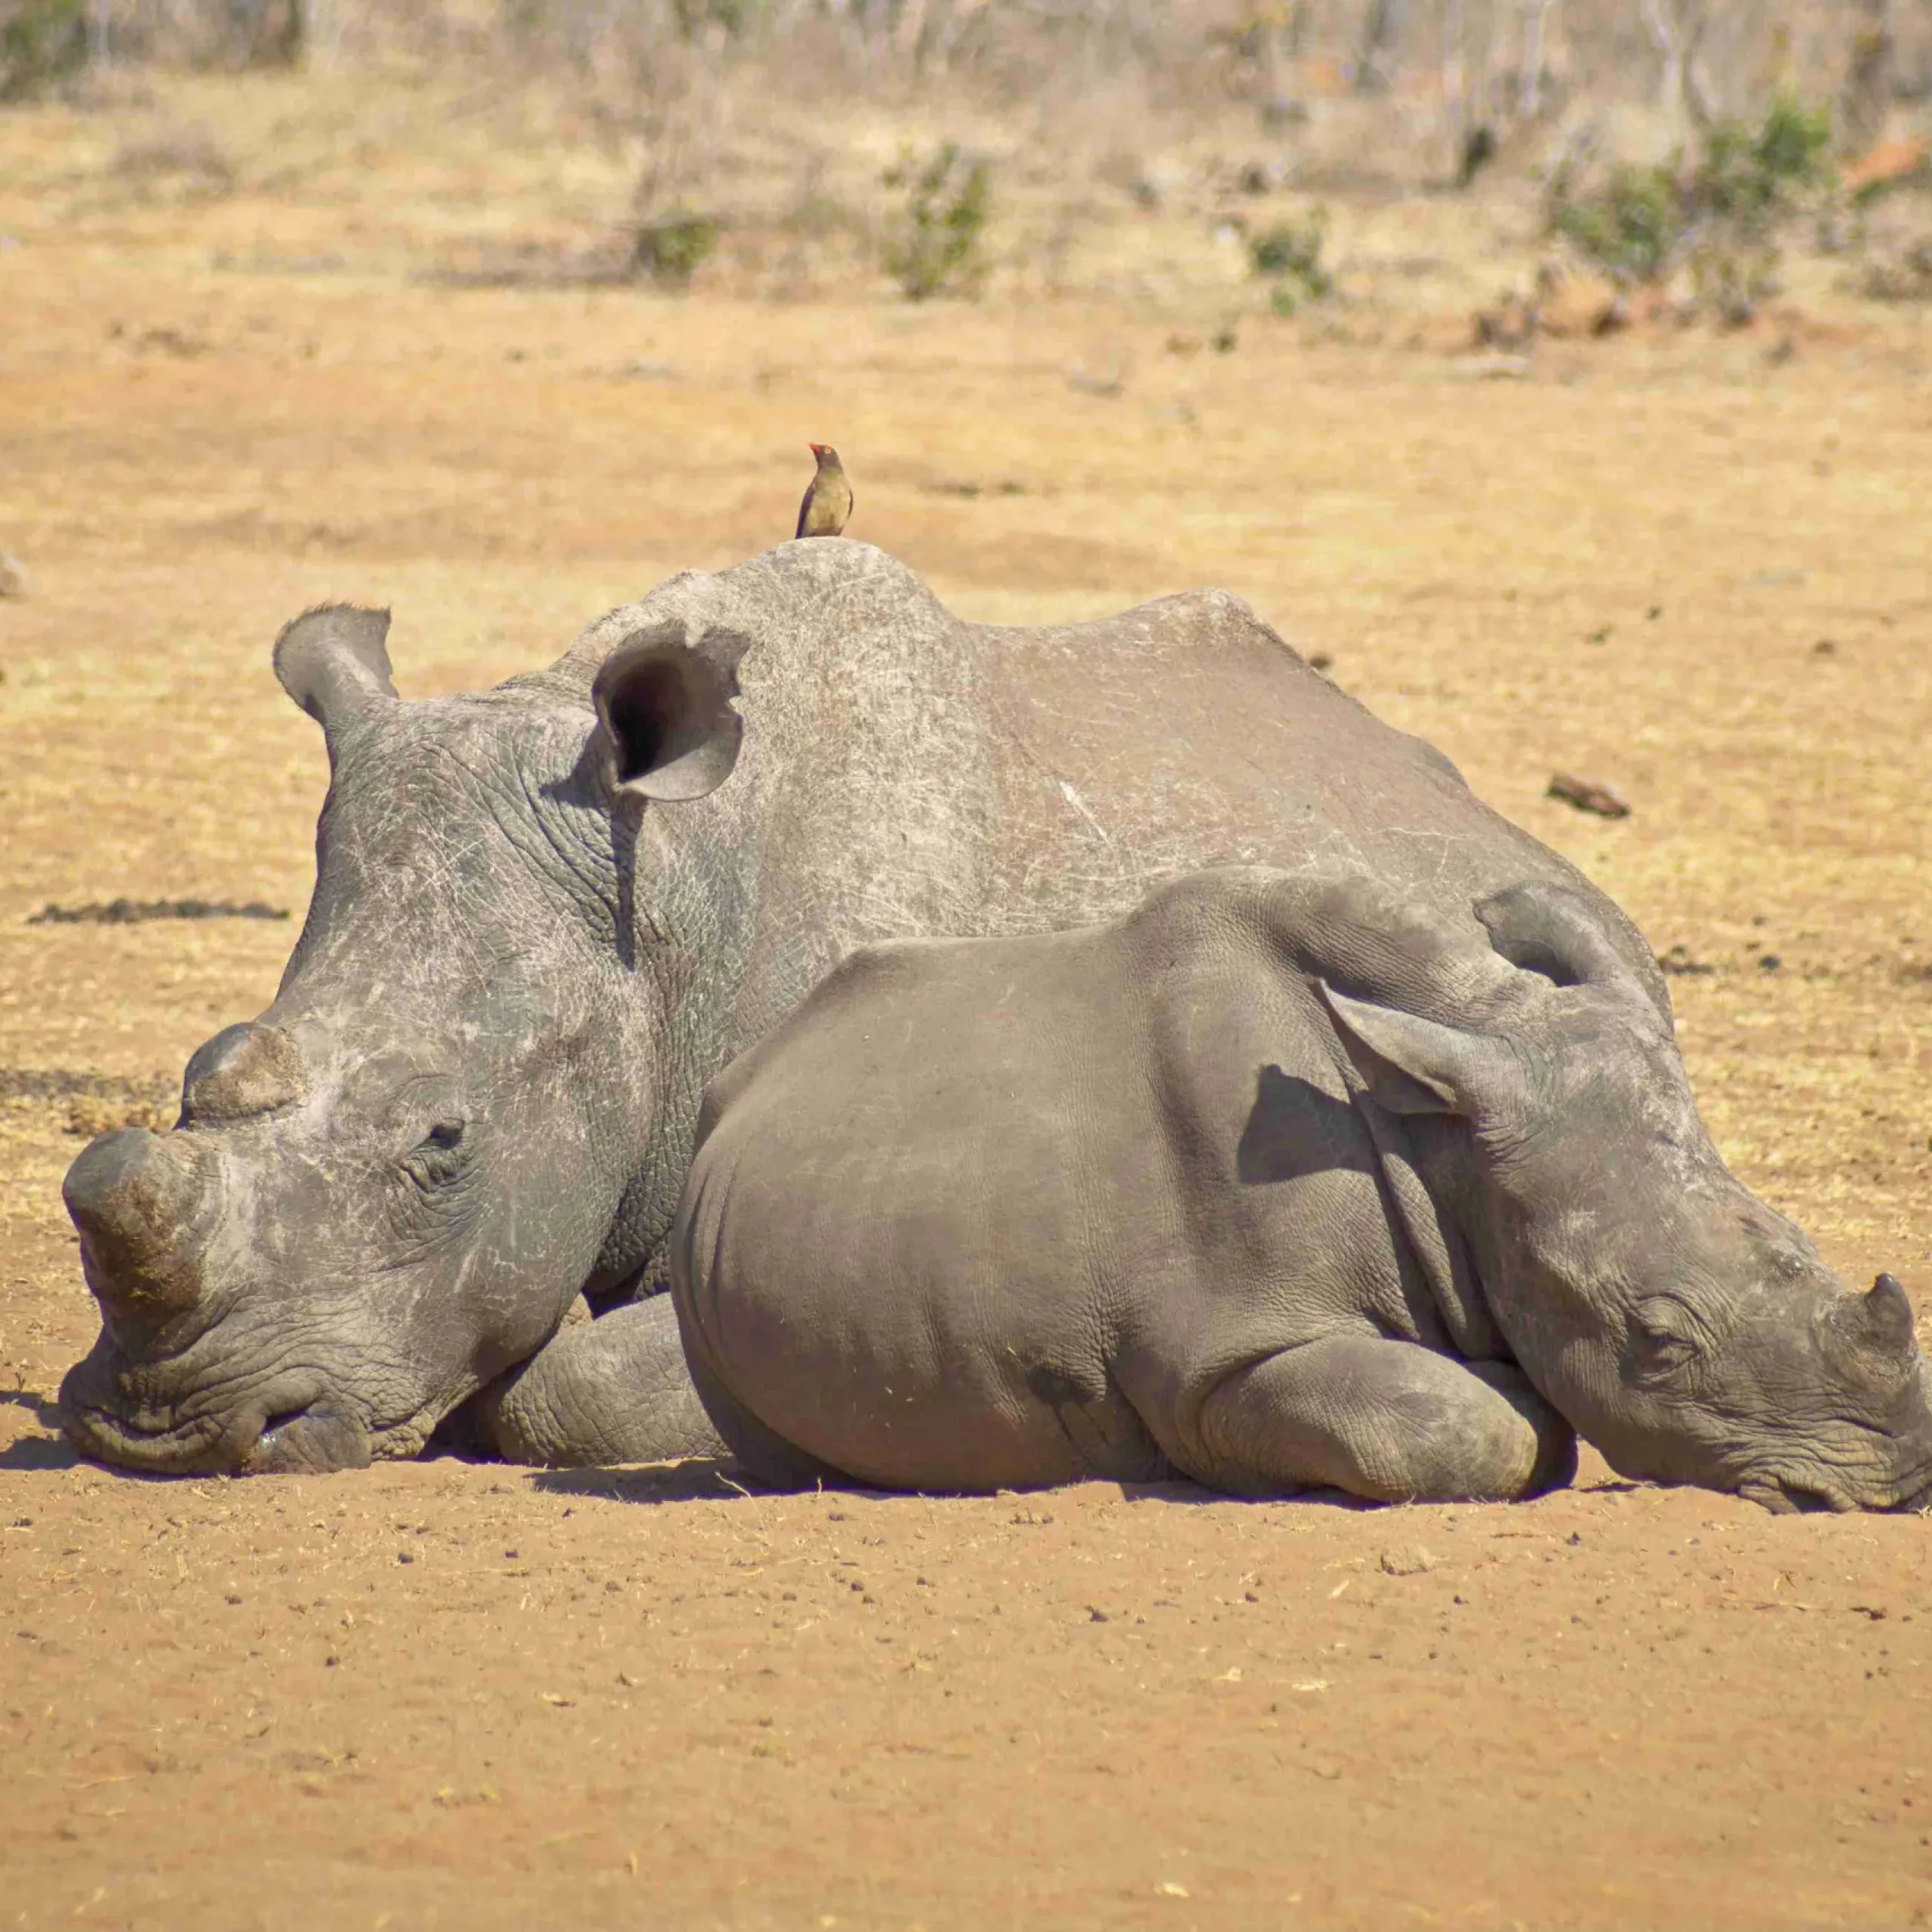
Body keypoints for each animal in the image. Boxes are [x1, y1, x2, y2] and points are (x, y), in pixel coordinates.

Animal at [668, 867, 1928, 1508]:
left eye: (1793, 1235)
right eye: (1659, 1344)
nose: (1902, 1479)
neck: (1446, 1153)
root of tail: (751, 1071)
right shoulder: (1223, 1359)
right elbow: (1465, 1425)